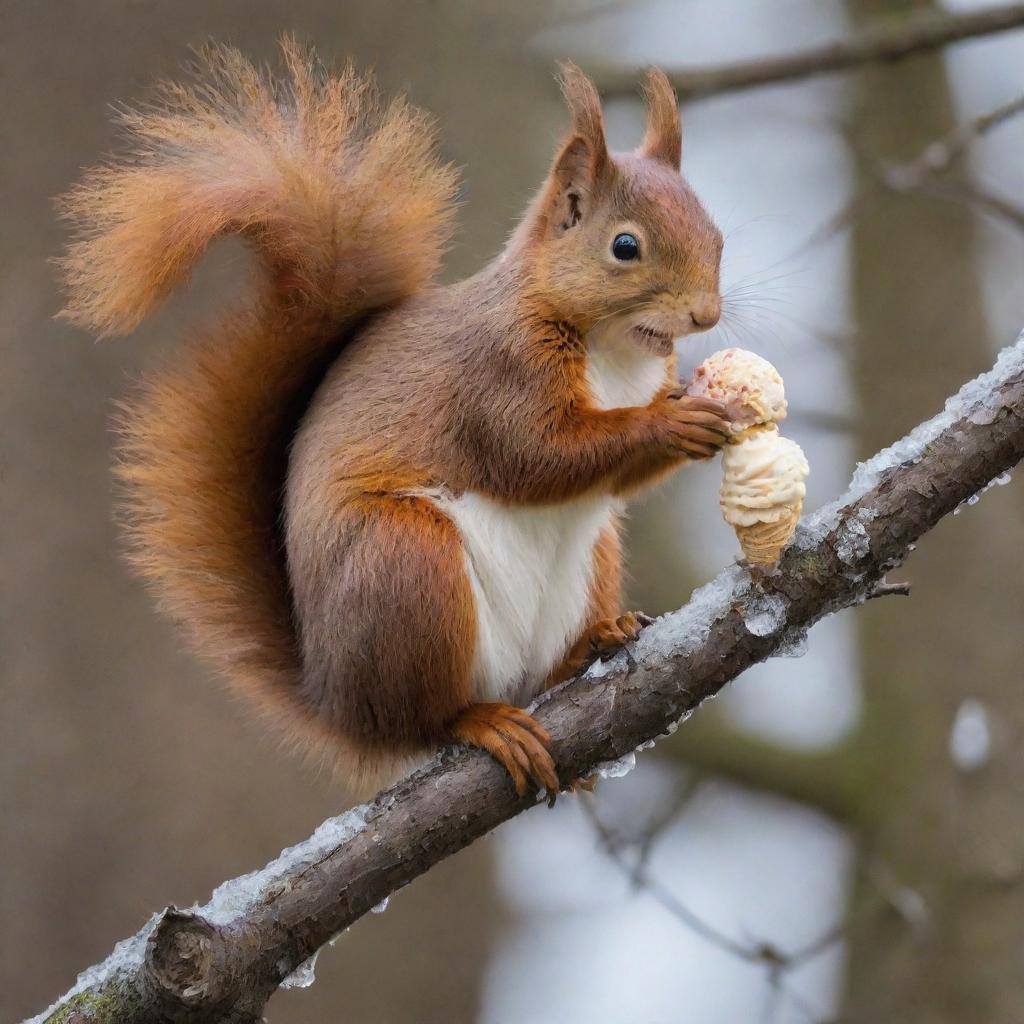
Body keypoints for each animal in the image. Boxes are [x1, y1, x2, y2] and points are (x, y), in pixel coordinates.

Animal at [58, 39, 729, 794]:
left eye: (717, 238)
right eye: (625, 247)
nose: (706, 315)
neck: (615, 353)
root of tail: (337, 702)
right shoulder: (497, 375)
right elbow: (535, 455)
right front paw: (667, 423)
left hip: (590, 558)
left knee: (538, 674)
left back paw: (589, 646)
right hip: (405, 562)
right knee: (425, 718)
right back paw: (479, 721)